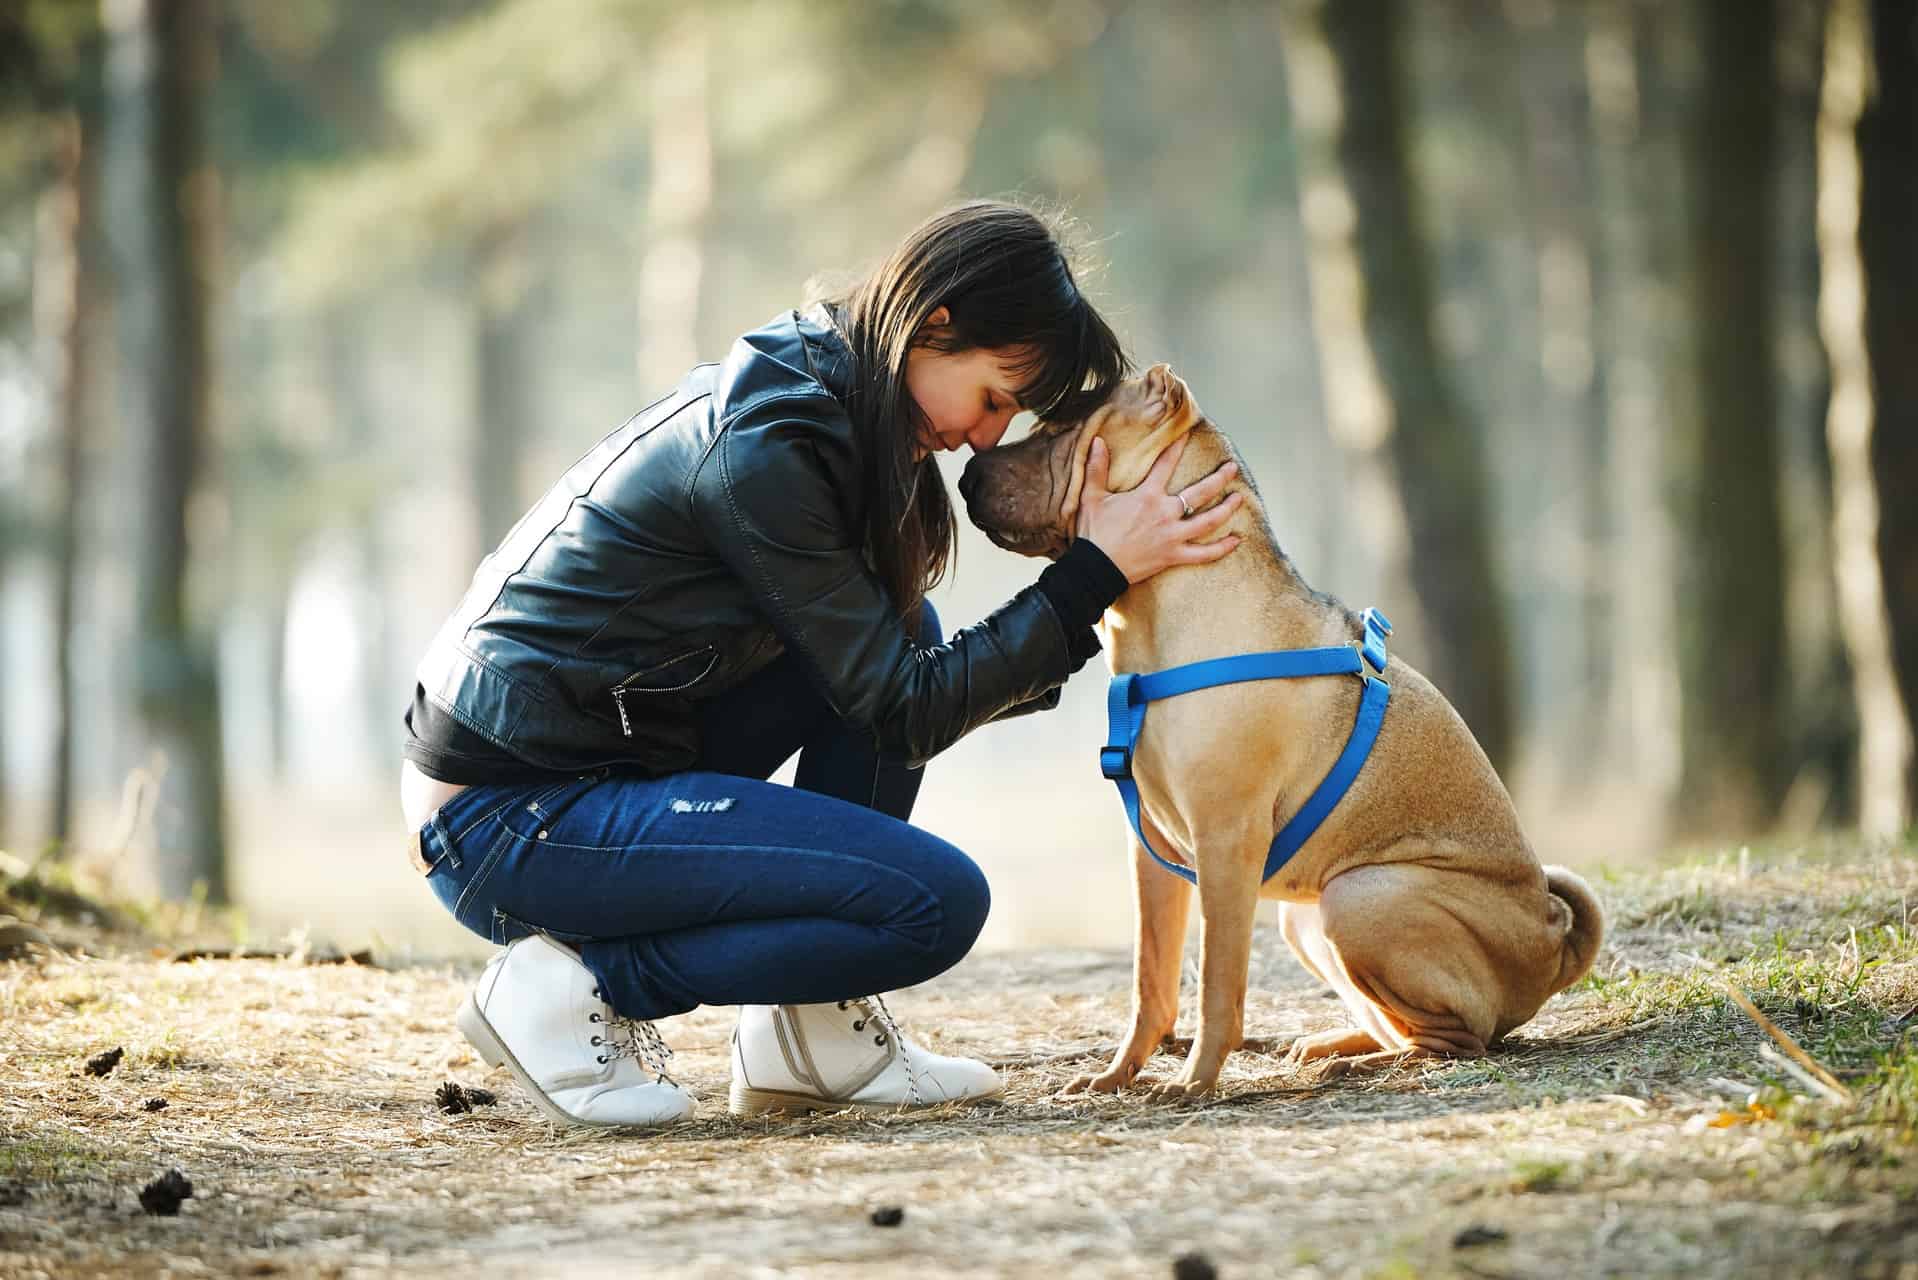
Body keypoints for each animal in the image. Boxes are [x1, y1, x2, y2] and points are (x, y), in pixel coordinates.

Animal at [959, 362, 1603, 1105]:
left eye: (1060, 429)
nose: (966, 473)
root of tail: (1554, 943)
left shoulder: (1224, 841)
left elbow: (1217, 982)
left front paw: (1194, 1080)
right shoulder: (1152, 852)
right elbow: (1151, 981)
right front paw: (1118, 1075)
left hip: (1360, 897)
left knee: (1463, 1037)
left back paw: (1362, 1064)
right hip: (1308, 918)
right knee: (1403, 1022)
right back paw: (1330, 1046)